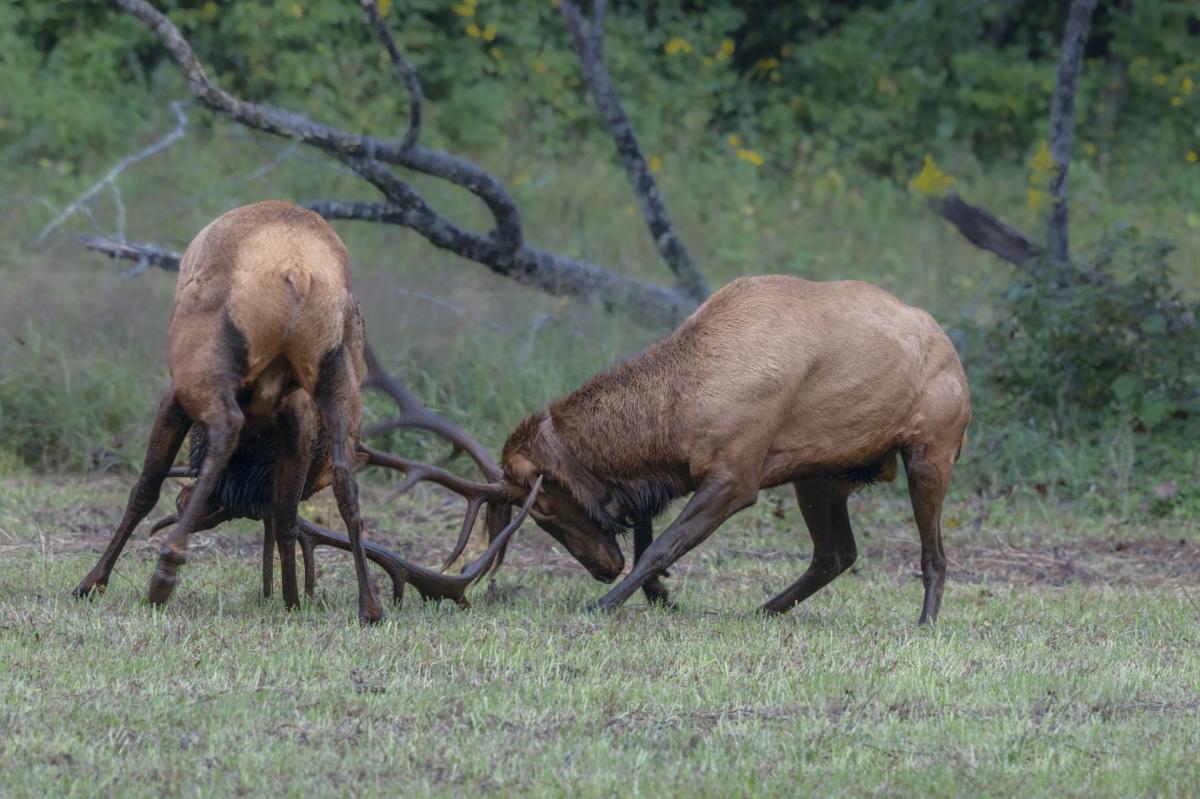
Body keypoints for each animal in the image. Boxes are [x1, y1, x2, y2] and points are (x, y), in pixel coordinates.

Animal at [72, 201, 540, 622]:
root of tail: (298, 272)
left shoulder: (175, 393)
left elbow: (145, 487)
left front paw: (92, 583)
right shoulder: (295, 416)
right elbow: (285, 512)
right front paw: (293, 597)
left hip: (203, 366)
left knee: (224, 429)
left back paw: (164, 573)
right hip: (335, 375)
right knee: (344, 480)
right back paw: (368, 607)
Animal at [491, 274, 971, 622]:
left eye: (543, 509)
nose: (601, 569)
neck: (677, 416)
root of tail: (951, 349)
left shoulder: (736, 477)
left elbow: (664, 545)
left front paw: (603, 604)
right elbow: (649, 538)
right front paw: (658, 594)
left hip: (931, 452)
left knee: (935, 555)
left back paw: (925, 623)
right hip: (819, 474)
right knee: (835, 554)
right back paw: (761, 611)